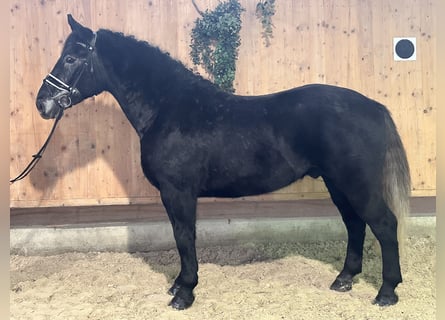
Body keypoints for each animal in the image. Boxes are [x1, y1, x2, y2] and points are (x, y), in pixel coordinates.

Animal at [35, 15, 410, 310]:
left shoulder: (178, 192)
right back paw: (344, 279)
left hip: (356, 183)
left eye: (71, 58)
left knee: (384, 224)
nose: (43, 103)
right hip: (337, 183)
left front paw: (184, 292)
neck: (168, 108)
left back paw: (386, 292)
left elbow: (184, 236)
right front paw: (178, 284)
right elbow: (182, 236)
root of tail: (374, 107)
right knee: (355, 224)